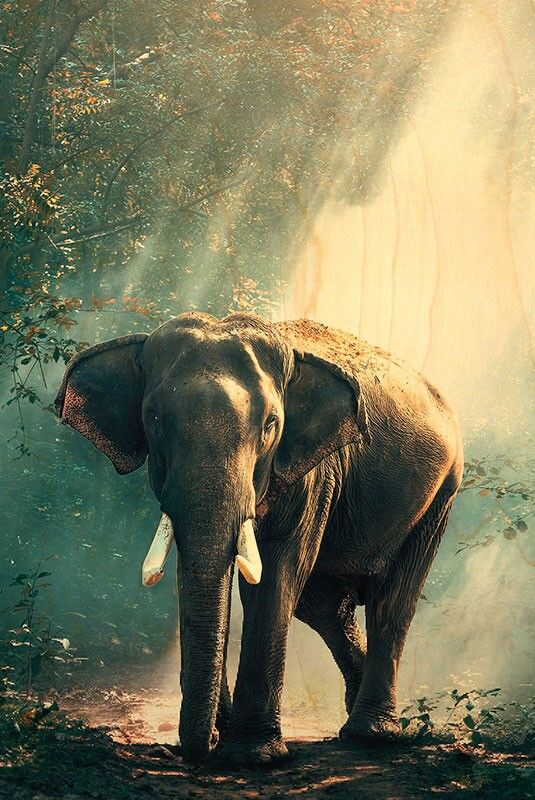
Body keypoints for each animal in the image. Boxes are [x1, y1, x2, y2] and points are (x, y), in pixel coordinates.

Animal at [55, 312, 463, 765]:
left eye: (270, 425)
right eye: (154, 418)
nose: (203, 747)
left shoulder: (313, 473)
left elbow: (276, 575)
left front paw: (253, 755)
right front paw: (227, 736)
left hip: (440, 495)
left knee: (391, 601)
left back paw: (371, 735)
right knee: (324, 606)